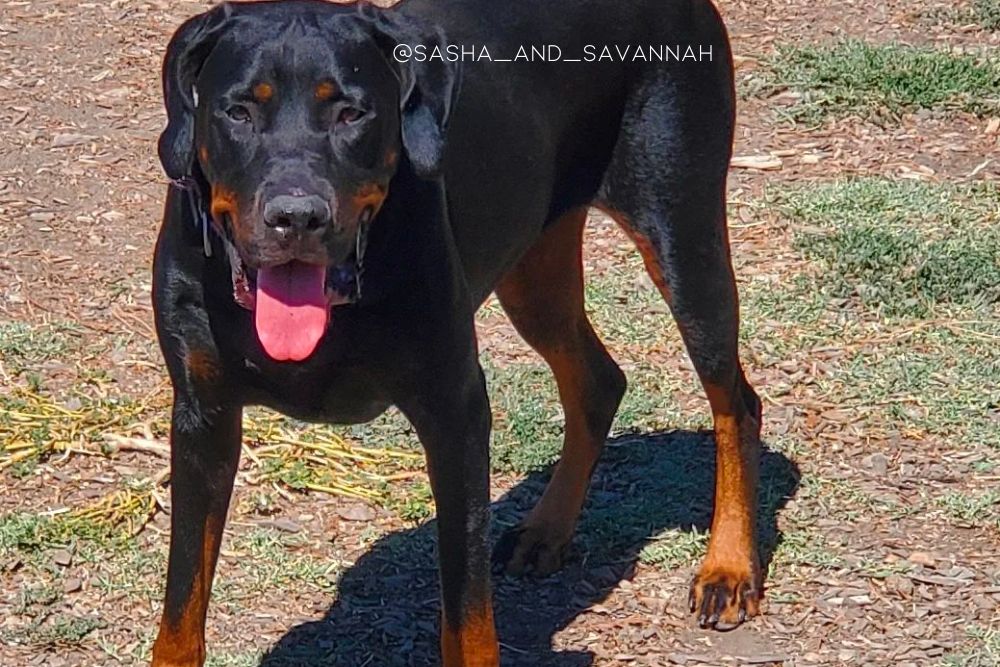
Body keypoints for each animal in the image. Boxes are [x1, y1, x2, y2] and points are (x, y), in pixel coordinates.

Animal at [146, 1, 756, 664]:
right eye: (238, 112)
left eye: (352, 113)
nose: (297, 217)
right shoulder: (203, 416)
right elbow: (182, 598)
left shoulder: (454, 410)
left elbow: (467, 611)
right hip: (534, 267)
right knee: (598, 380)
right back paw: (547, 529)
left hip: (682, 233)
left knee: (734, 401)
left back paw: (729, 568)